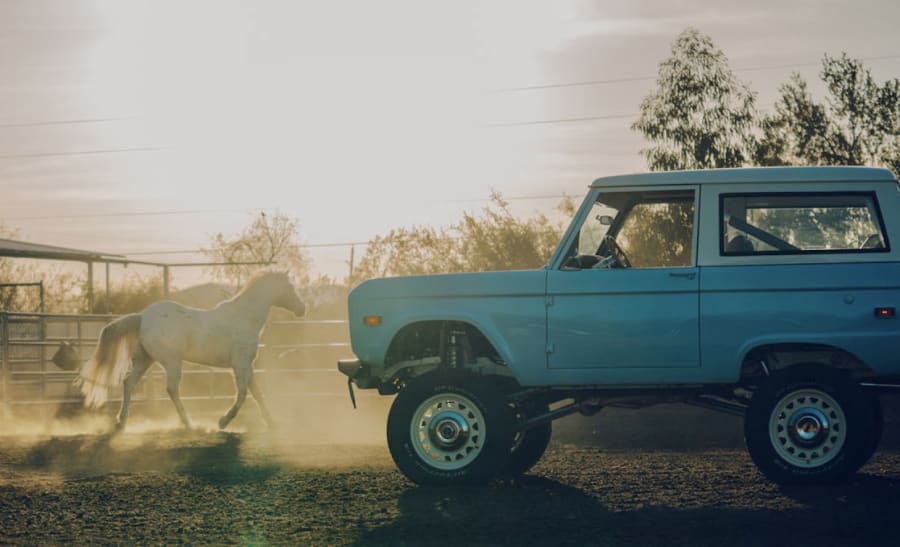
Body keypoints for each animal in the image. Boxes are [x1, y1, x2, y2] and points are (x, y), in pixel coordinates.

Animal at [75, 272, 306, 432]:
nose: (302, 308)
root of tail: (142, 317)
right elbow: (243, 394)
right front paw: (223, 422)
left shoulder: (247, 366)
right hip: (172, 362)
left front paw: (272, 423)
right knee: (171, 389)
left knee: (128, 383)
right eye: (290, 287)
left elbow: (257, 393)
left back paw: (121, 423)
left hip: (145, 360)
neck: (244, 318)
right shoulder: (240, 365)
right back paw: (188, 424)